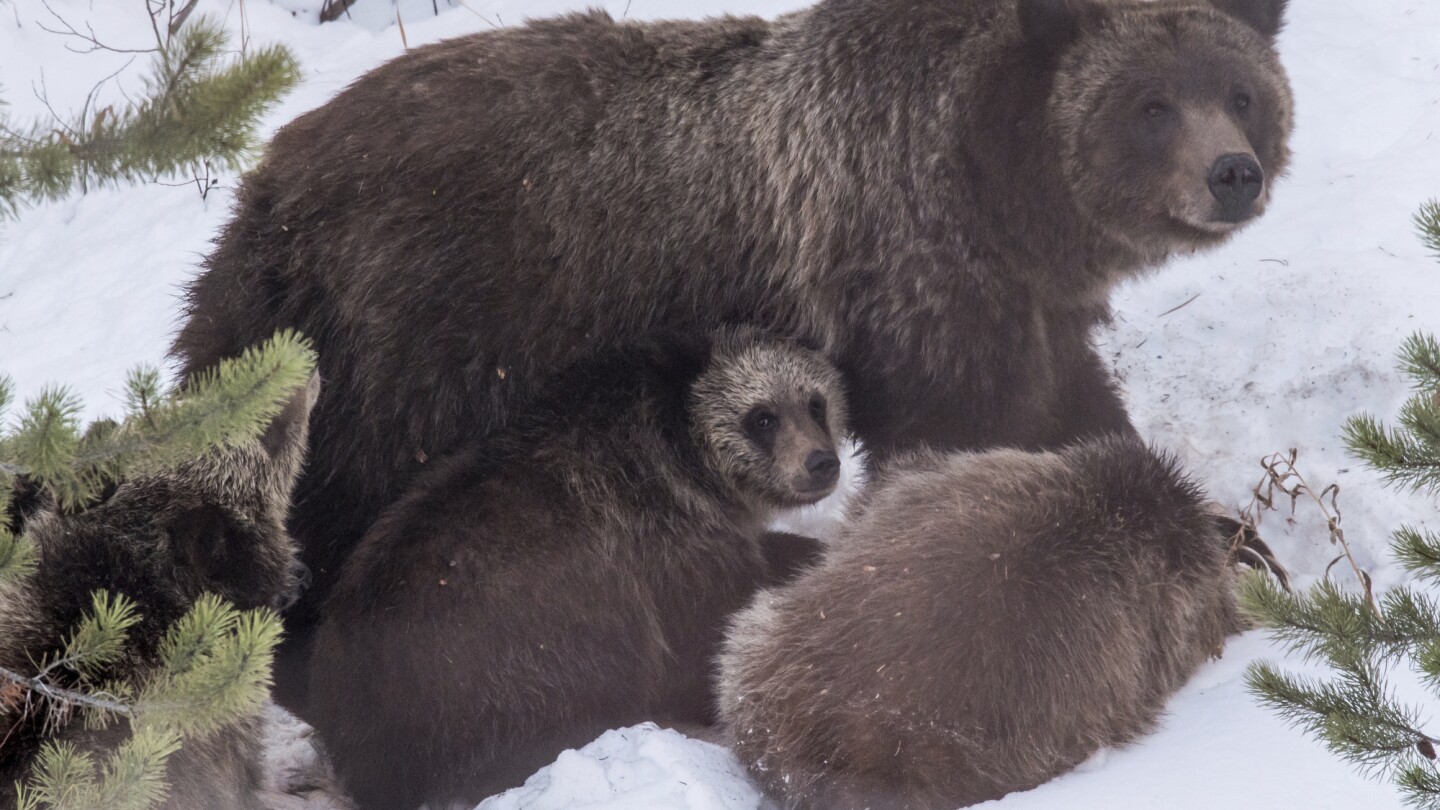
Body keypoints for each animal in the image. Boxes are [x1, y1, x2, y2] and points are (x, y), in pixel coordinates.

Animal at [168, 0, 1296, 703]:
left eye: (1240, 91)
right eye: (1151, 105)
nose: (1232, 173)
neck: (999, 188)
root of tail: (268, 187)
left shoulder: (1022, 303)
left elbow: (1075, 413)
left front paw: (1234, 535)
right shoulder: (912, 272)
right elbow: (973, 436)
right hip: (421, 339)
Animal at [303, 330, 840, 807]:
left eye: (815, 403)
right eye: (762, 417)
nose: (822, 462)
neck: (694, 468)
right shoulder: (664, 551)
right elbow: (706, 637)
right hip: (506, 647)